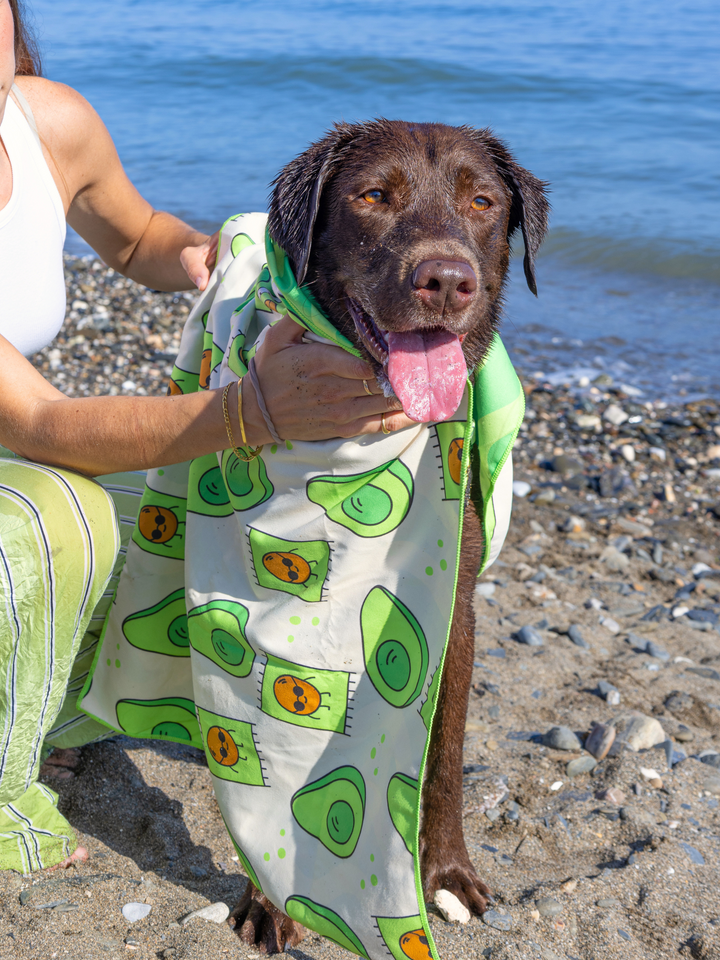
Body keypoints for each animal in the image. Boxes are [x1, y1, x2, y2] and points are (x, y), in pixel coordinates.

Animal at [233, 120, 548, 952]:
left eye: (482, 201)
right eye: (373, 195)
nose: (446, 281)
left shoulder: (454, 611)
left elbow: (445, 757)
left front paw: (446, 875)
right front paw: (270, 893)